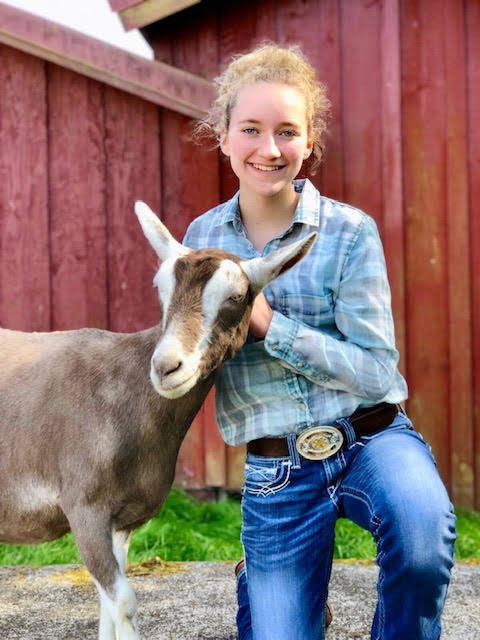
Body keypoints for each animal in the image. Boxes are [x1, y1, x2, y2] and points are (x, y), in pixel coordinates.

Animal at [0, 202, 316, 639]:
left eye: (236, 297)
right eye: (160, 289)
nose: (167, 367)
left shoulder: (120, 522)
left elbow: (107, 609)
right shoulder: (84, 507)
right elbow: (124, 603)